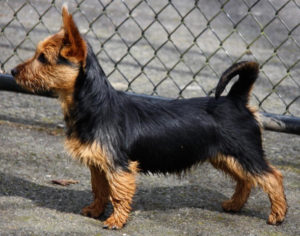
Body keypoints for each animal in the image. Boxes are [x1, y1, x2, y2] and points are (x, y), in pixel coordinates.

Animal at [10, 5, 288, 230]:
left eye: (42, 58)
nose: (12, 71)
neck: (92, 104)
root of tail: (236, 99)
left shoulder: (118, 166)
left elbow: (118, 194)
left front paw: (115, 221)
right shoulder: (99, 164)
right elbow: (99, 189)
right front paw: (95, 211)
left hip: (245, 154)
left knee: (272, 177)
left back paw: (277, 215)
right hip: (226, 157)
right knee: (246, 181)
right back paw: (234, 205)